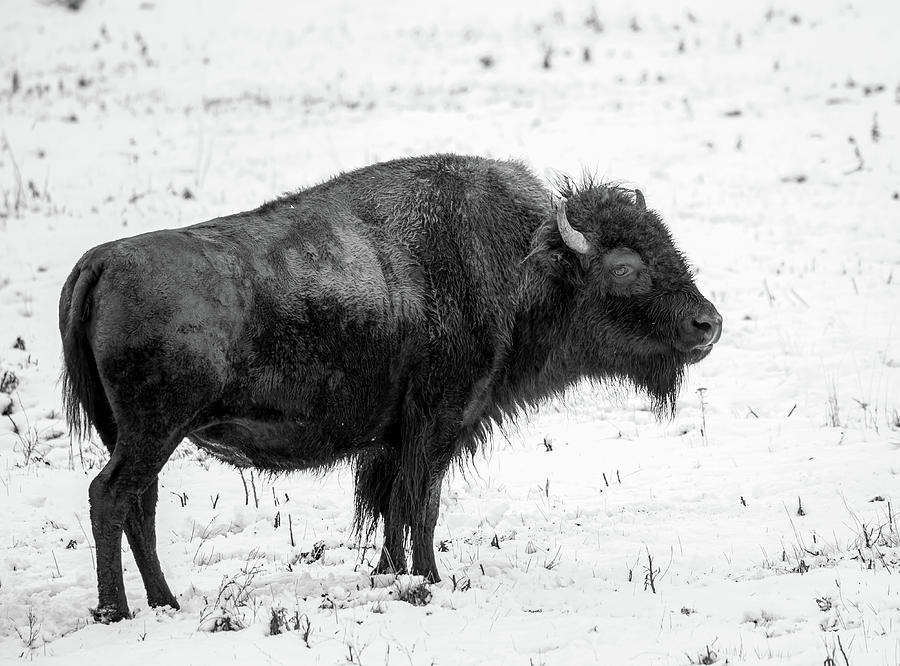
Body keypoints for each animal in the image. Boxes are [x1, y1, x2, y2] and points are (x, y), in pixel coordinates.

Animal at [59, 153, 720, 620]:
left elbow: (391, 507)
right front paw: (428, 580)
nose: (708, 324)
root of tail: (101, 261)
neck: (522, 261)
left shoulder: (396, 437)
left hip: (138, 435)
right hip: (154, 431)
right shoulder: (440, 421)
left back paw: (164, 602)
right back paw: (118, 612)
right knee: (111, 497)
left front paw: (391, 573)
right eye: (624, 267)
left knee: (139, 506)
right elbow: (420, 503)